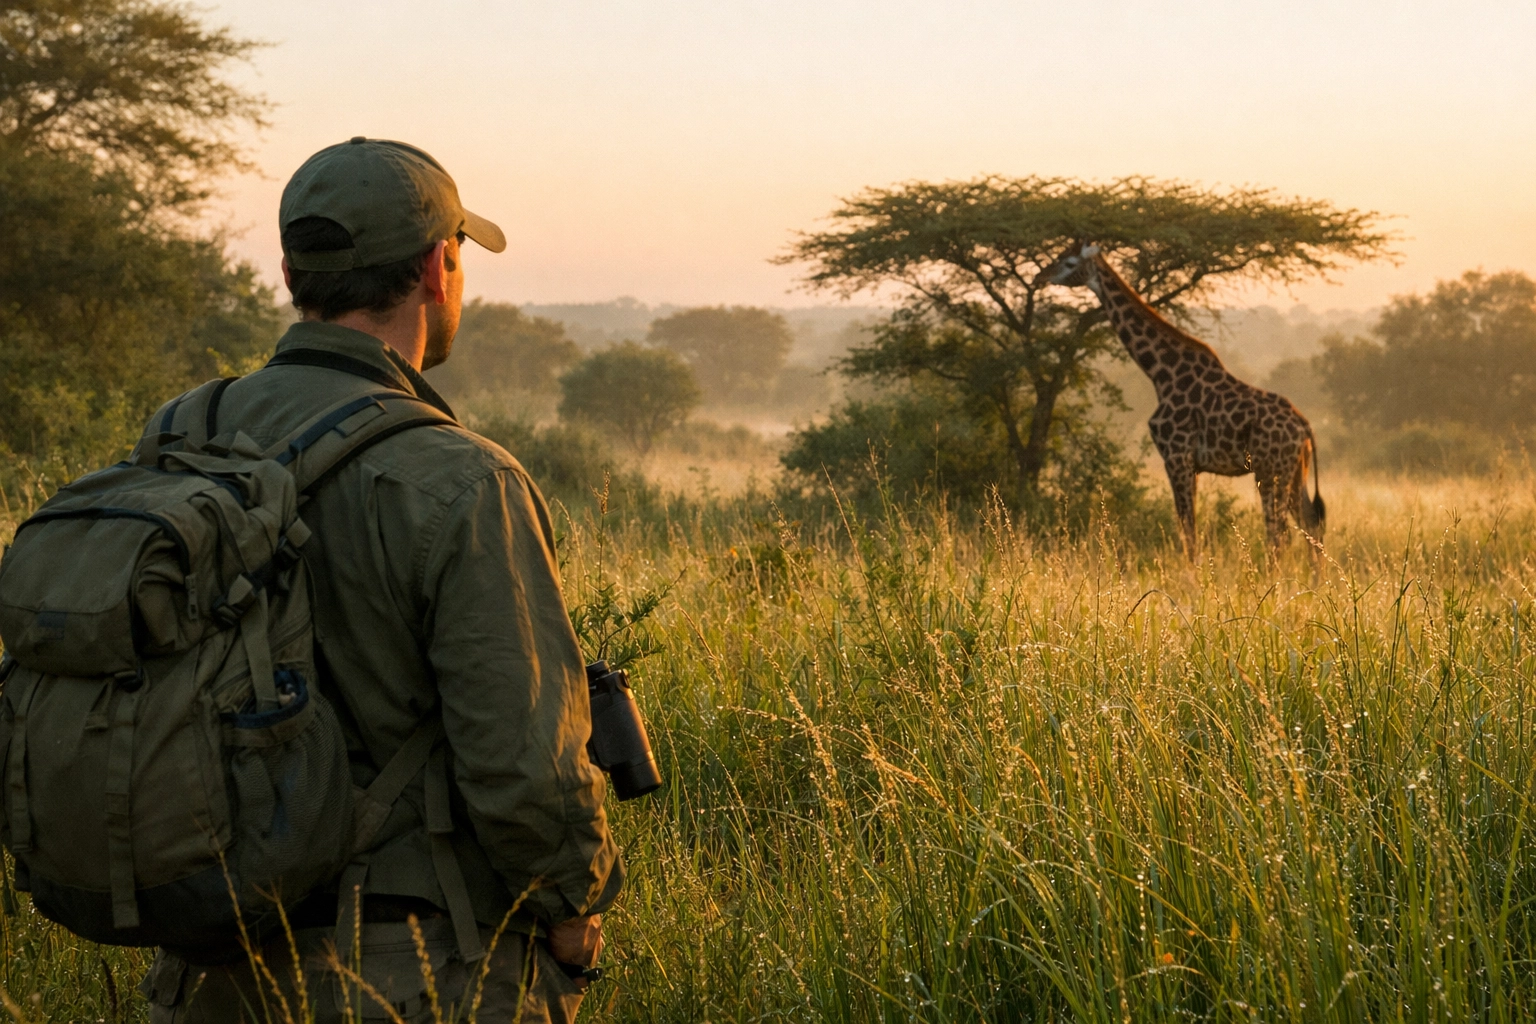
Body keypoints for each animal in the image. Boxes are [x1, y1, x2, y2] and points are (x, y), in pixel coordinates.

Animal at [1039, 242, 1324, 559]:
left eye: (1069, 262)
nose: (1041, 276)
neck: (1160, 373)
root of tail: (1304, 427)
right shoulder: (1190, 464)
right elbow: (1189, 531)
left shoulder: (1176, 457)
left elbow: (1188, 533)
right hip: (1294, 471)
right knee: (1311, 526)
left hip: (1270, 471)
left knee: (1279, 536)